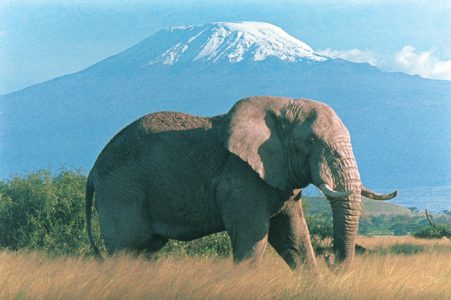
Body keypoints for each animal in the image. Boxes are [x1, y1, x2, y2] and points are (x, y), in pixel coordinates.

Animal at [86, 96, 398, 270]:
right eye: (311, 141)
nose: (331, 260)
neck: (280, 107)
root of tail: (93, 170)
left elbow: (294, 238)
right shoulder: (240, 177)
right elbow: (253, 239)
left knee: (146, 252)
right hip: (121, 190)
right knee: (127, 249)